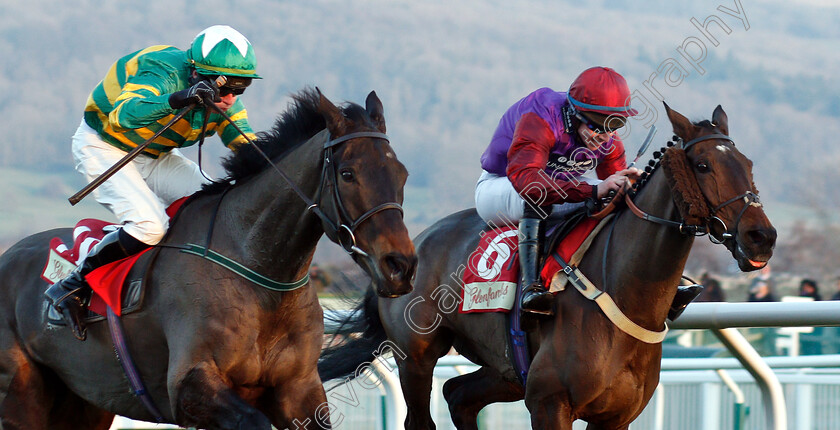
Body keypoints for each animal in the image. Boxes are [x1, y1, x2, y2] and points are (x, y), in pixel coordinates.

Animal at [0, 88, 418, 430]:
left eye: (402, 173)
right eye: (347, 174)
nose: (400, 267)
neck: (259, 273)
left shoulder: (299, 389)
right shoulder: (190, 387)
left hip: (86, 400)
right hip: (21, 396)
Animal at [320, 105, 776, 430]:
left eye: (749, 165)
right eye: (703, 166)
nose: (762, 236)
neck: (626, 295)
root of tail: (413, 245)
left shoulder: (615, 416)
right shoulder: (549, 403)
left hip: (506, 368)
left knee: (458, 394)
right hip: (416, 359)